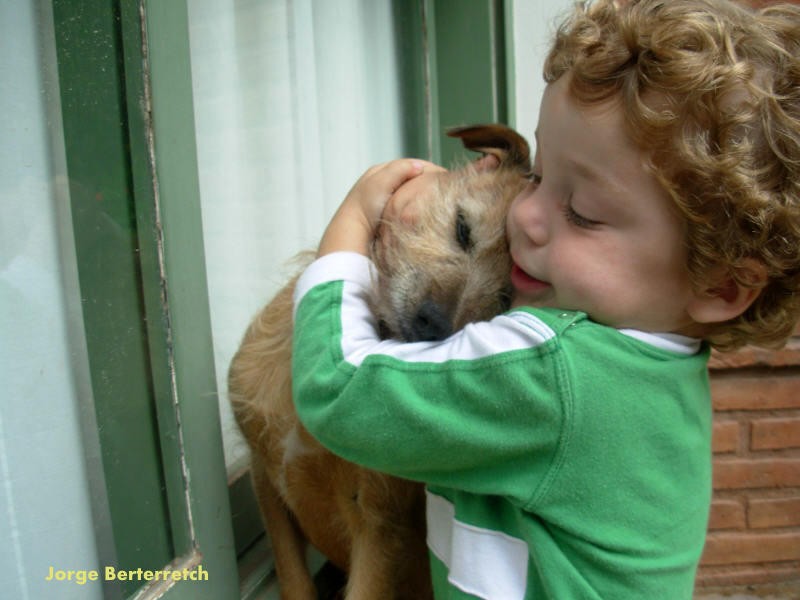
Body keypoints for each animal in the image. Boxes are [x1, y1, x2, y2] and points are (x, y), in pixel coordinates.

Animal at [227, 124, 532, 596]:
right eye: (463, 229)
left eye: (503, 299)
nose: (434, 323)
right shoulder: (266, 483)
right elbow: (294, 581)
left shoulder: (380, 530)